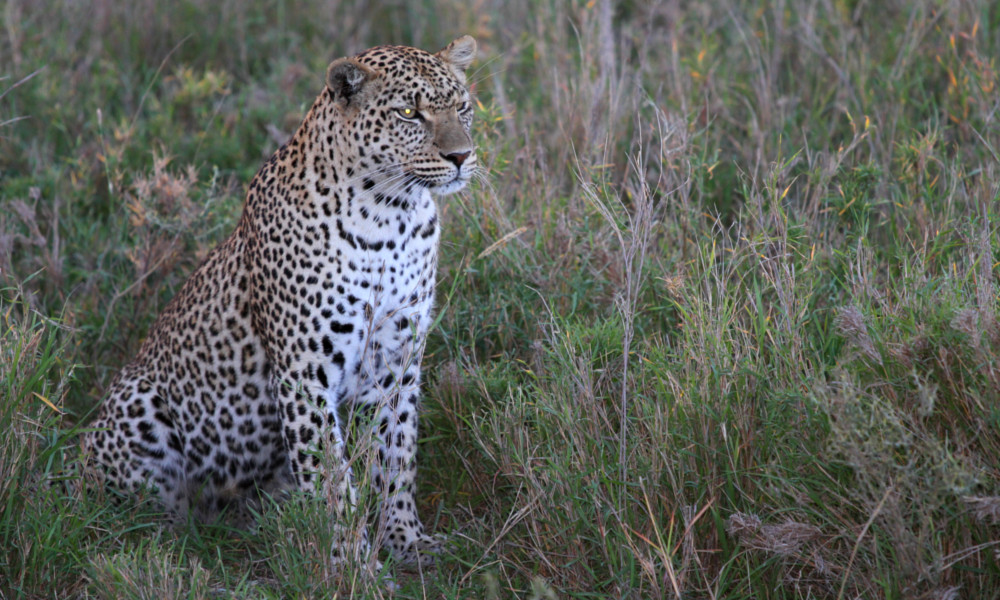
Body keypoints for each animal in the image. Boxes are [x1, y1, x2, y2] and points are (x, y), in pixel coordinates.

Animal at [82, 35, 480, 568]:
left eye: (462, 106)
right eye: (409, 113)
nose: (461, 156)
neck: (392, 218)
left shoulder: (396, 361)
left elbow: (395, 455)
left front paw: (405, 541)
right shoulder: (304, 372)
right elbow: (331, 479)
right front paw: (353, 566)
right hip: (139, 405)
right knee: (141, 514)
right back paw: (170, 545)